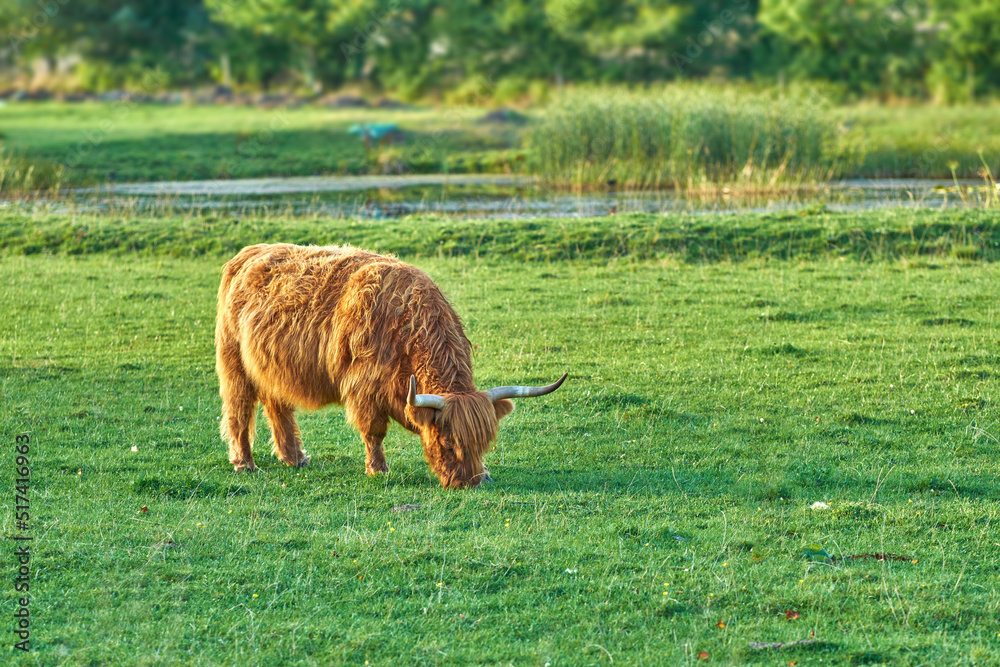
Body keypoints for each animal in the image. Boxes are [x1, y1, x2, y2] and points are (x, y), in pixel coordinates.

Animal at [215, 243, 568, 488]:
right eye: (447, 442)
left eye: (483, 443)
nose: (469, 482)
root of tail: (249, 252)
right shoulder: (364, 387)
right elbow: (374, 431)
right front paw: (378, 470)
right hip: (234, 364)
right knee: (239, 411)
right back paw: (245, 463)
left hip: (271, 368)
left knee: (278, 407)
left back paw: (295, 458)